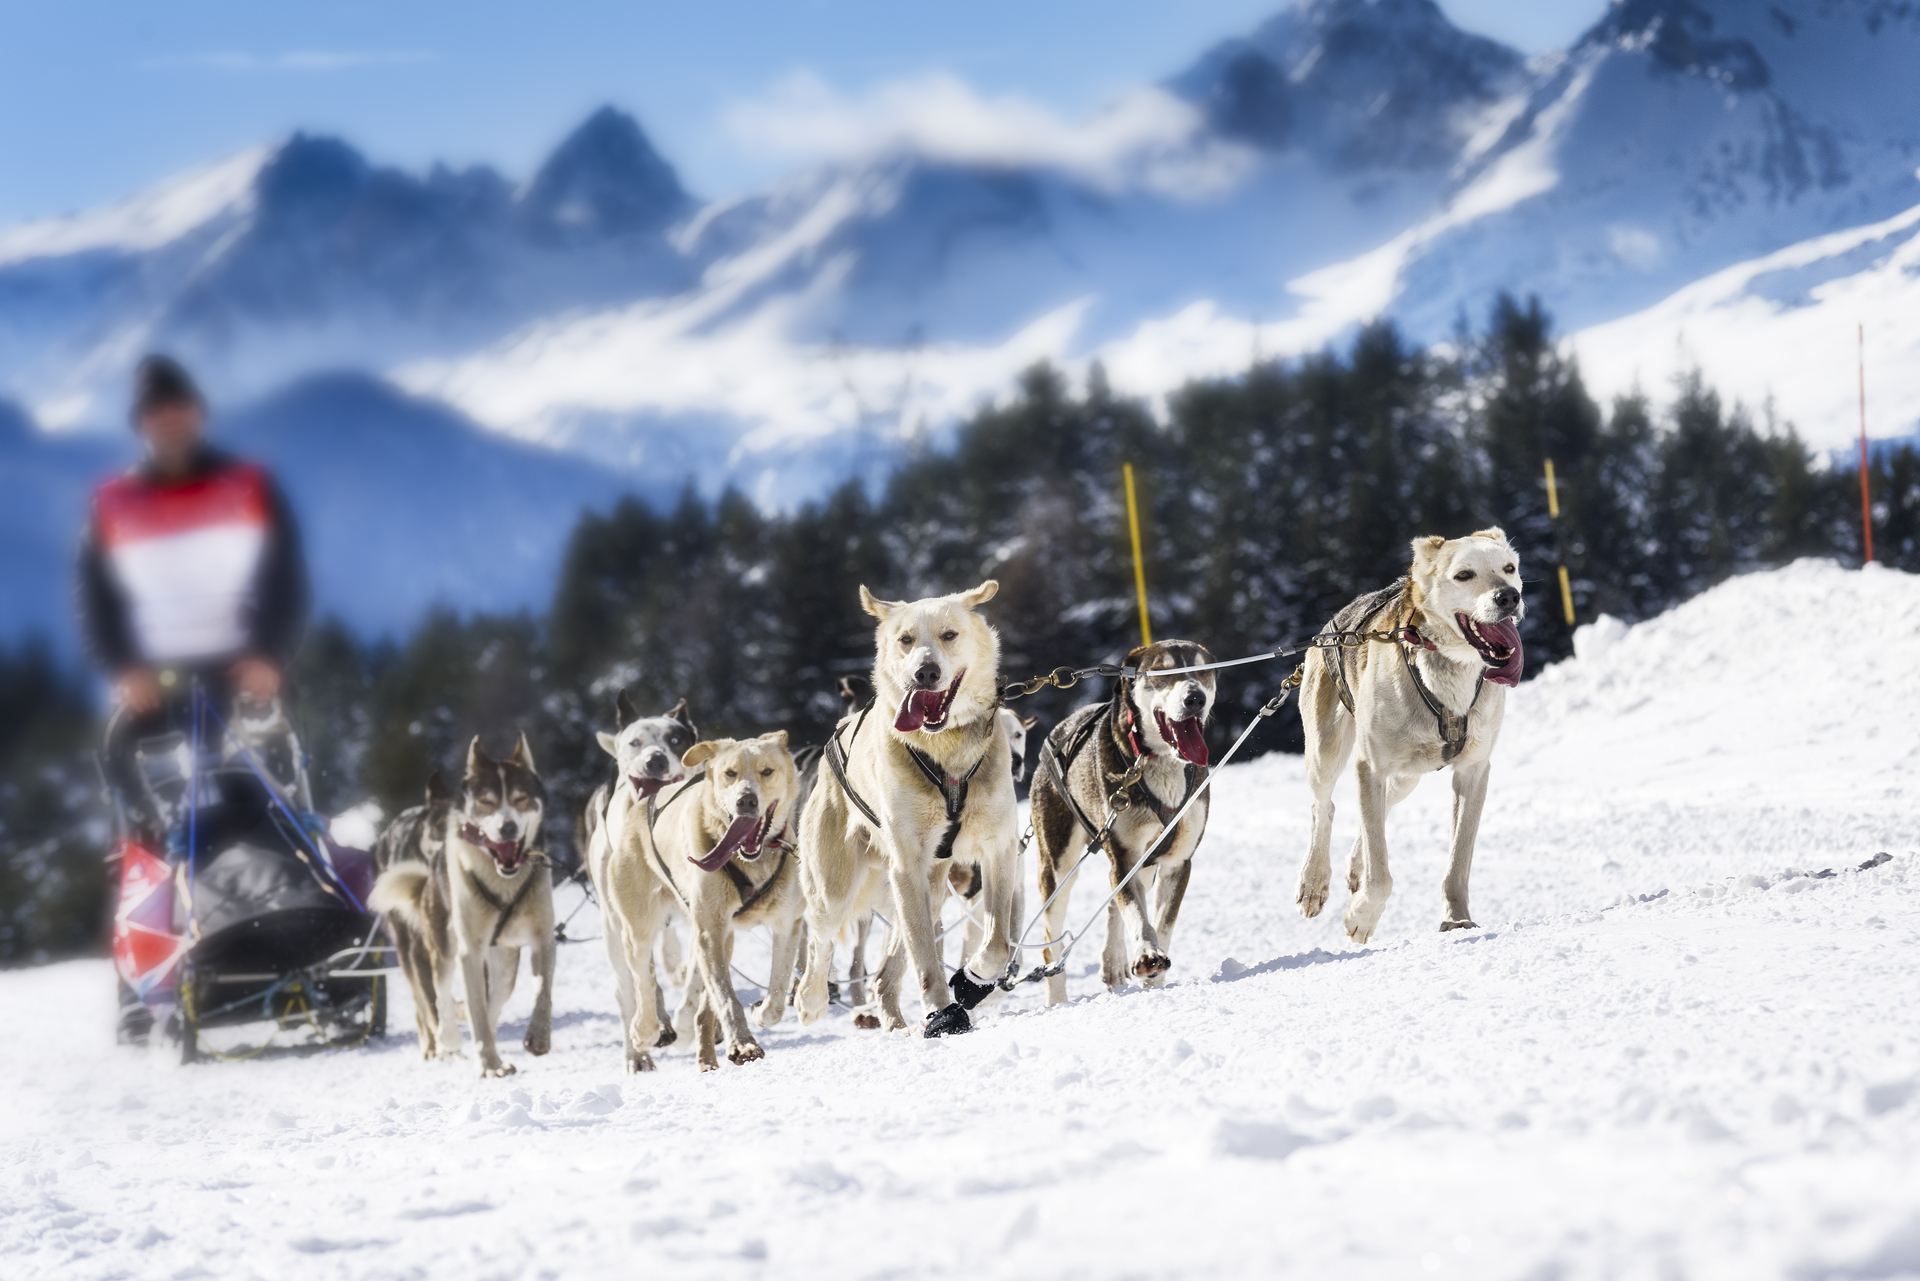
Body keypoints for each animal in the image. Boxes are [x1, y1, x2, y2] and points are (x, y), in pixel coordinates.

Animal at [370, 737, 556, 1075]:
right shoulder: (468, 951)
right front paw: (488, 1064)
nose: (508, 827)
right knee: (439, 995)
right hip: (439, 947)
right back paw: (448, 1039)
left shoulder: (542, 940)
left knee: (492, 998)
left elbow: (541, 991)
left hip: (503, 961)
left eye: (521, 798)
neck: (503, 883)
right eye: (486, 802)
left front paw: (537, 1036)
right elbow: (468, 1009)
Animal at [583, 691, 706, 1075]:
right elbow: (636, 987)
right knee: (631, 985)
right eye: (635, 742)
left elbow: (694, 977)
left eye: (675, 739)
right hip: (615, 925)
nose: (655, 760)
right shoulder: (621, 924)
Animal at [633, 729, 798, 1075]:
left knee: (701, 1010)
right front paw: (744, 1044)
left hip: (724, 939)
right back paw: (646, 1030)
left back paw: (706, 1059)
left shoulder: (787, 923)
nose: (746, 799)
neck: (749, 861)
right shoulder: (709, 930)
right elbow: (727, 997)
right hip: (640, 931)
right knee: (643, 980)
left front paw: (760, 1013)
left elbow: (777, 994)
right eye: (730, 773)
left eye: (767, 771)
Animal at [1036, 641, 1213, 998]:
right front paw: (1147, 954)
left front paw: (1154, 978)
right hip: (1058, 868)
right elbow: (1136, 912)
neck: (1160, 763)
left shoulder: (1177, 861)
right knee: (1052, 945)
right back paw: (1058, 999)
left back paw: (1113, 960)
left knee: (1115, 896)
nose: (1195, 698)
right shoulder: (1124, 854)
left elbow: (1162, 920)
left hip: (1144, 861)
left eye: (1203, 671)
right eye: (1163, 671)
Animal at [1290, 530, 1528, 941]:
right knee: (1325, 807)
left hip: (1408, 777)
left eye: (1509, 568)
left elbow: (1457, 863)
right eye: (1464, 574)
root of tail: (1328, 628)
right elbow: (1380, 871)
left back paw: (1356, 863)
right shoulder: (1370, 765)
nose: (1509, 597)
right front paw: (1362, 916)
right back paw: (1314, 881)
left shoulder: (1474, 770)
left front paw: (1457, 918)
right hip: (1326, 752)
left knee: (1381, 808)